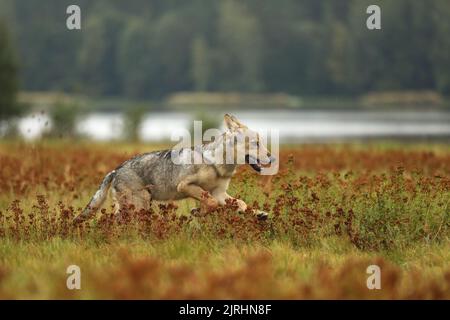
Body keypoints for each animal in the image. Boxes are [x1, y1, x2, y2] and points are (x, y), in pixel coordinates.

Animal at [72, 114, 276, 224]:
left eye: (262, 142)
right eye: (256, 143)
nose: (272, 157)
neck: (218, 164)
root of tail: (115, 170)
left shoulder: (219, 192)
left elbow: (241, 203)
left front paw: (259, 214)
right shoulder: (185, 186)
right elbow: (210, 203)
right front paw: (198, 212)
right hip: (140, 204)